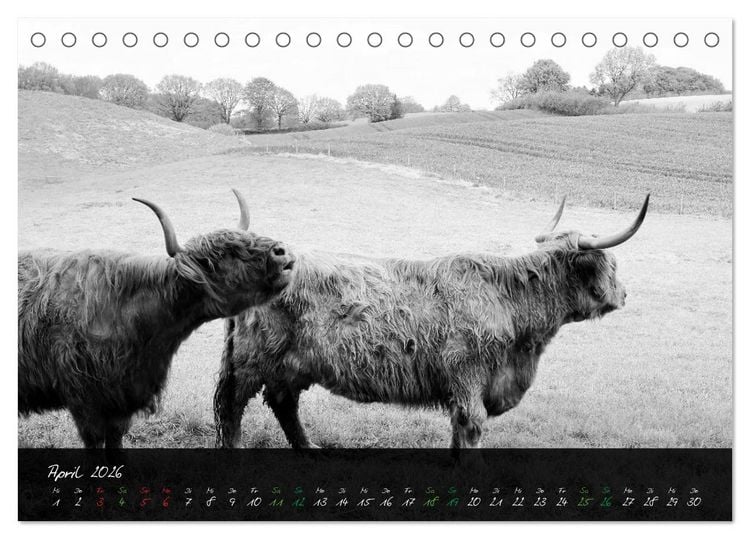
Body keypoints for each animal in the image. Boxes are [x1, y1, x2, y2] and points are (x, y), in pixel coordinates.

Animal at [214, 195, 649, 451]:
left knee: (283, 404)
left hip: (290, 367)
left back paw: (310, 451)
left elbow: (458, 430)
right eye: (612, 264)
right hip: (251, 363)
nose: (625, 294)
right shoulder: (468, 377)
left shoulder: (466, 387)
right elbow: (470, 428)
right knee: (233, 408)